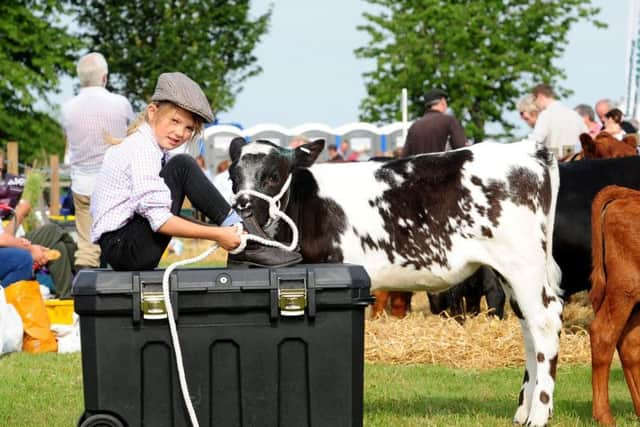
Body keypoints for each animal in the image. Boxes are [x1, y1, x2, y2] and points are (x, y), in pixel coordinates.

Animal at [230, 139, 564, 426]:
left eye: (273, 176)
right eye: (233, 176)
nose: (243, 207)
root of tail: (528, 150)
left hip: (523, 264)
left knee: (546, 322)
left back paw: (539, 414)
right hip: (512, 274)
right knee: (529, 329)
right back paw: (522, 411)